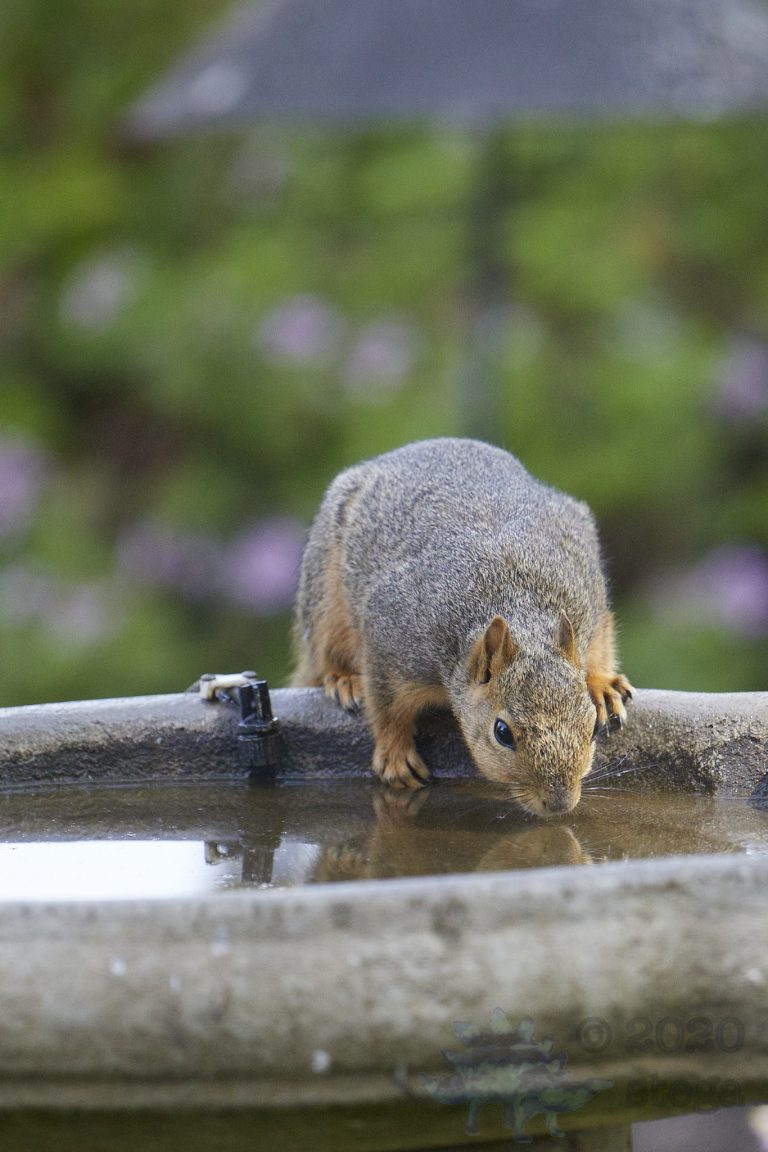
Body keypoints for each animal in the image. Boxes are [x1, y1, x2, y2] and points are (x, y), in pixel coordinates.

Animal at [291, 438, 632, 816]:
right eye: (502, 732)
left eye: (591, 728)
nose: (559, 803)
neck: (518, 605)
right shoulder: (391, 641)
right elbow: (386, 705)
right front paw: (395, 755)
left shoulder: (590, 605)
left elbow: (601, 647)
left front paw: (602, 685)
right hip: (325, 596)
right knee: (326, 650)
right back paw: (344, 680)